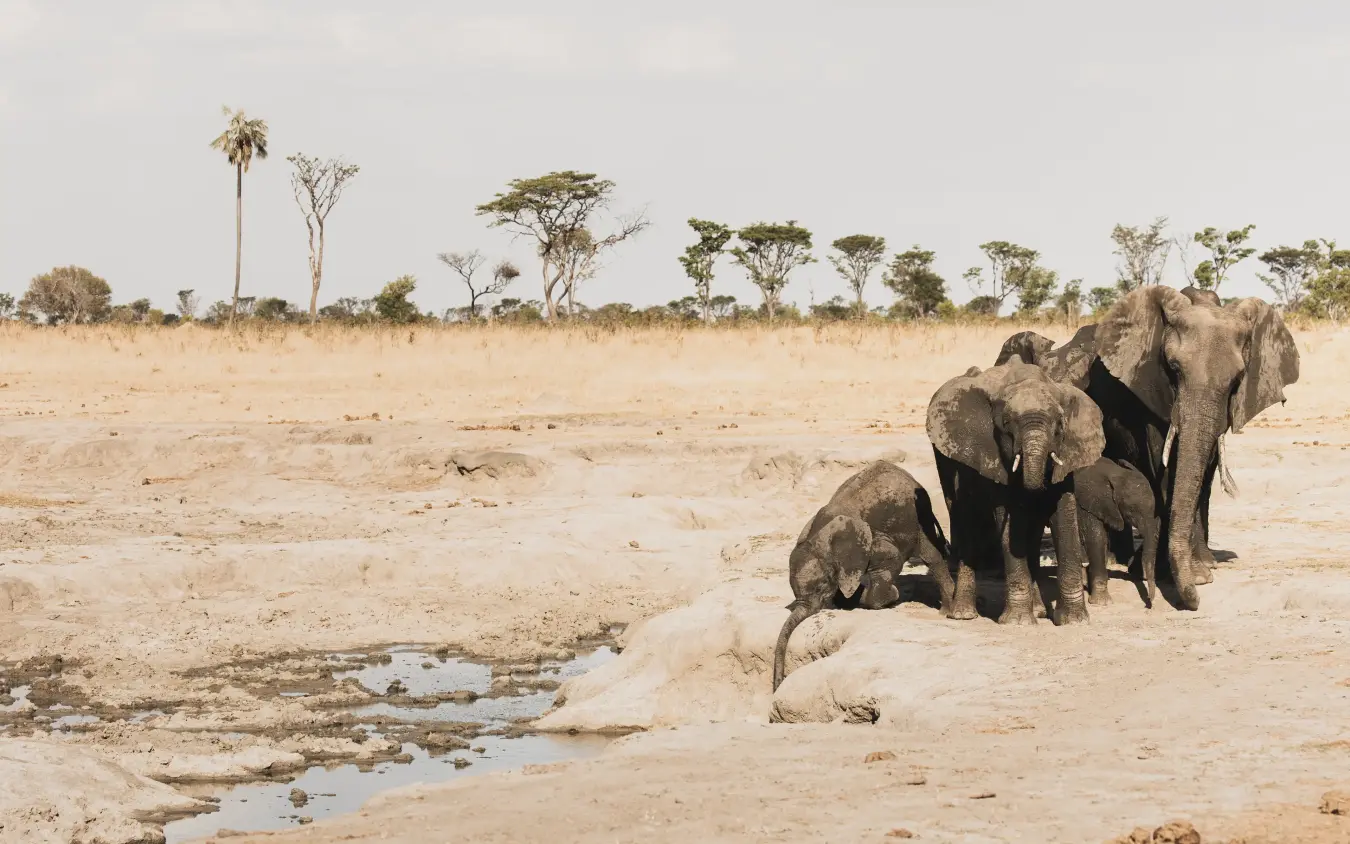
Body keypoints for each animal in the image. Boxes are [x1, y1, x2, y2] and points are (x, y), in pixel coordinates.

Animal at [773, 460, 949, 691]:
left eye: (821, 587)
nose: (777, 685)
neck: (821, 535)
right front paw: (852, 599)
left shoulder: (875, 540)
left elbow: (891, 559)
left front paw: (891, 596)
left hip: (918, 515)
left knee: (931, 556)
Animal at [926, 357, 1105, 625]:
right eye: (1007, 425)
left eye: (1060, 425)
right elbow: (1012, 521)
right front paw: (1018, 622)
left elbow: (1063, 513)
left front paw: (1074, 621)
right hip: (945, 464)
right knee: (965, 518)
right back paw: (963, 615)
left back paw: (1039, 610)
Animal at [1070, 457, 1160, 608]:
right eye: (1132, 511)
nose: (1149, 603)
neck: (1115, 473)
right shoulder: (1086, 502)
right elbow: (1096, 537)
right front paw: (1101, 602)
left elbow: (1105, 539)